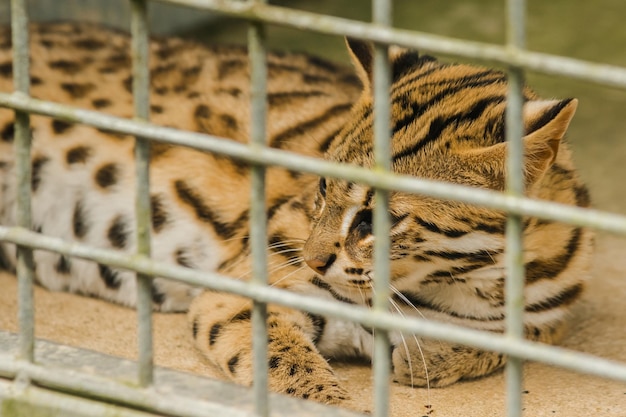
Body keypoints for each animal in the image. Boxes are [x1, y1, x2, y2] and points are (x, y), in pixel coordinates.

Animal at [0, 22, 588, 404]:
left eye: (378, 219)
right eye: (322, 187)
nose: (309, 259)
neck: (465, 281)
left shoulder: (551, 314)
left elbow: (514, 338)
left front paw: (436, 353)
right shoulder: (242, 290)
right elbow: (288, 370)